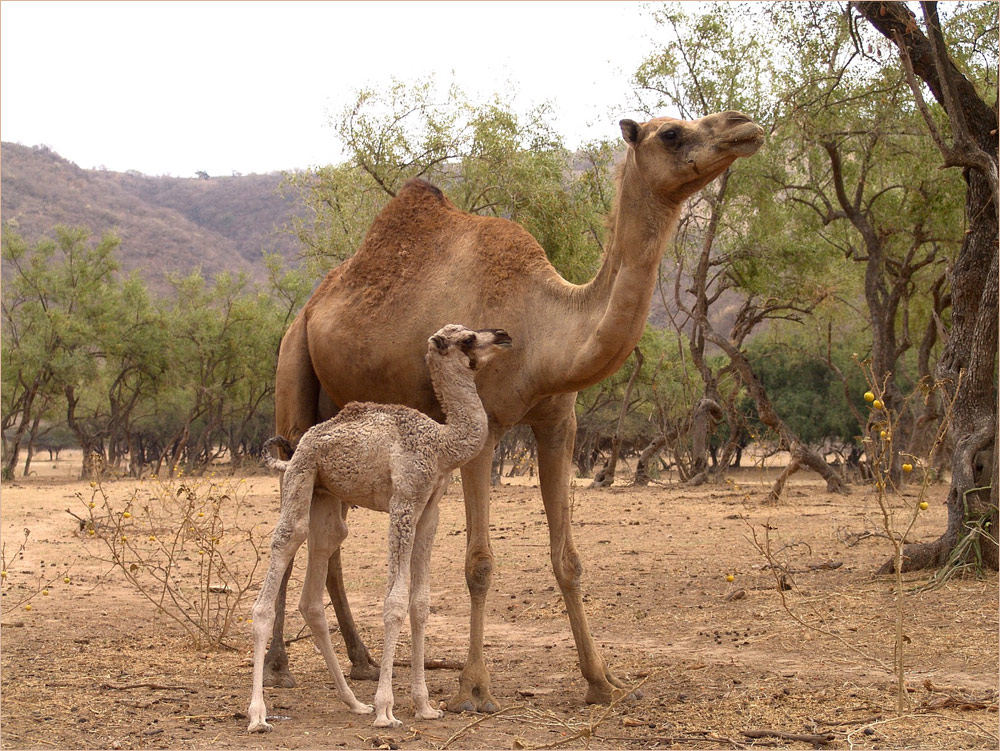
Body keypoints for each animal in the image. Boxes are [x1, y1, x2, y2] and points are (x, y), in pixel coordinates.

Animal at [246, 324, 512, 736]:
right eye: (468, 339)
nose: (502, 335)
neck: (441, 445)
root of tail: (295, 451)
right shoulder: (403, 503)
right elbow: (395, 602)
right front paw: (386, 709)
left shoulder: (429, 511)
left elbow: (420, 603)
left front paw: (425, 707)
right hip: (302, 476)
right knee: (283, 549)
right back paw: (258, 714)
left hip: (325, 496)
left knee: (316, 581)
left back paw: (354, 702)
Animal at [262, 110, 760, 712]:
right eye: (671, 133)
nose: (744, 125)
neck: (543, 330)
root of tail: (310, 307)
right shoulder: (485, 430)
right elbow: (479, 563)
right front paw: (473, 689)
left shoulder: (558, 424)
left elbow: (568, 559)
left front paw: (602, 681)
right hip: (293, 380)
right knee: (292, 518)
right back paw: (280, 667)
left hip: (342, 428)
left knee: (329, 531)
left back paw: (361, 661)